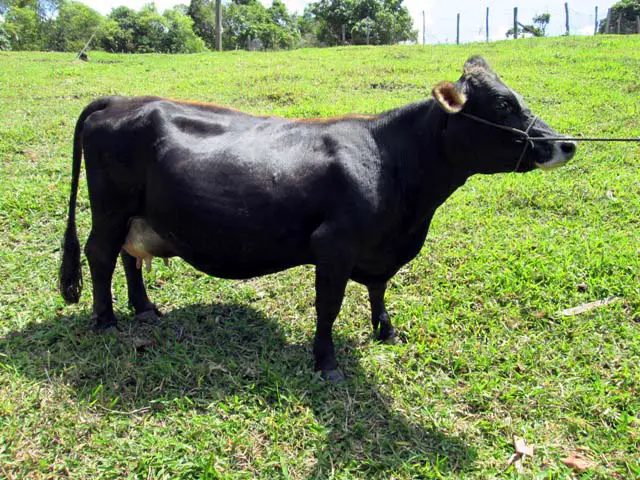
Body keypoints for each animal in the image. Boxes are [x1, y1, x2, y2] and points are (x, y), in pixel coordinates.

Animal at [59, 56, 576, 381]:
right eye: (504, 105)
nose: (566, 143)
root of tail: (119, 99)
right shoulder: (335, 246)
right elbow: (328, 308)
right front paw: (326, 364)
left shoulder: (378, 250)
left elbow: (379, 290)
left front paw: (386, 331)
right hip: (110, 208)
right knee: (100, 254)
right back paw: (106, 320)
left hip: (138, 215)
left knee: (130, 256)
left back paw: (145, 308)